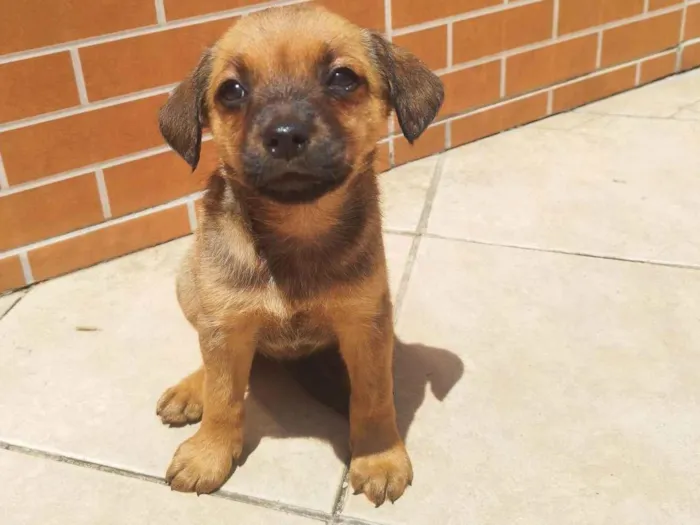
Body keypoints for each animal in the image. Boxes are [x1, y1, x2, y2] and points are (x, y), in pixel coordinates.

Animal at [157, 2, 442, 506]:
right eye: (231, 90)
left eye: (343, 78)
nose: (286, 135)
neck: (298, 229)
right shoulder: (225, 326)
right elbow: (224, 397)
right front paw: (209, 454)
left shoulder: (366, 323)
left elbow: (374, 397)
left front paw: (379, 456)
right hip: (189, 285)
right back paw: (192, 390)